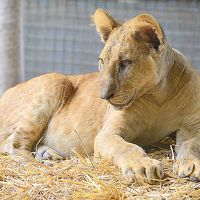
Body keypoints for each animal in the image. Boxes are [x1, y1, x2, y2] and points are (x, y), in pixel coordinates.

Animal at [0, 9, 200, 184]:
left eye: (125, 63)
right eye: (102, 61)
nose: (103, 96)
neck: (157, 96)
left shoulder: (192, 125)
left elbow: (192, 144)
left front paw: (192, 166)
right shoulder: (107, 134)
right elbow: (126, 147)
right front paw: (143, 166)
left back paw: (47, 155)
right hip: (56, 80)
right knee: (11, 143)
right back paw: (37, 165)